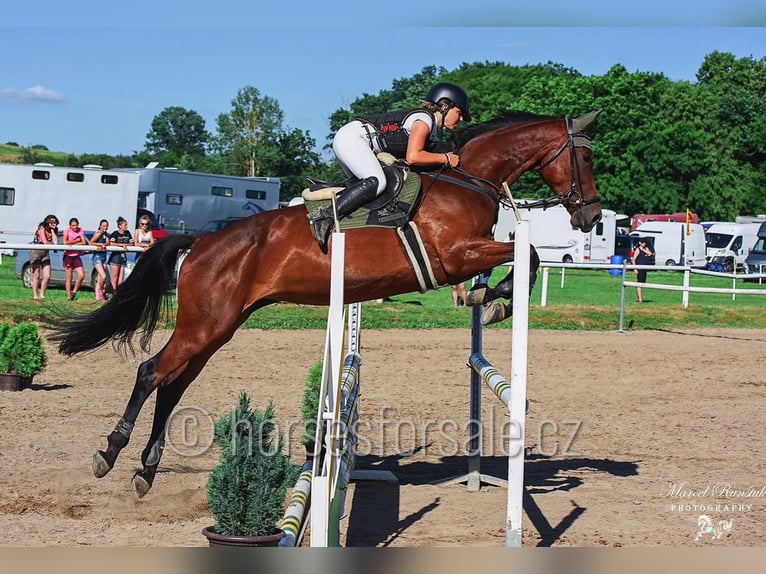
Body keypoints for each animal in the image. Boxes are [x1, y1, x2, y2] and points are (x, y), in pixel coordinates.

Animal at [54, 110, 608, 498]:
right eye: (585, 159)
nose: (591, 217)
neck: (466, 179)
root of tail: (202, 241)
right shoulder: (455, 254)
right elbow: (528, 254)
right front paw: (495, 300)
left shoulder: (466, 253)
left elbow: (525, 257)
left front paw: (488, 297)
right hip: (204, 325)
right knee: (151, 372)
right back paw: (110, 453)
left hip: (217, 328)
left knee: (173, 386)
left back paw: (146, 471)